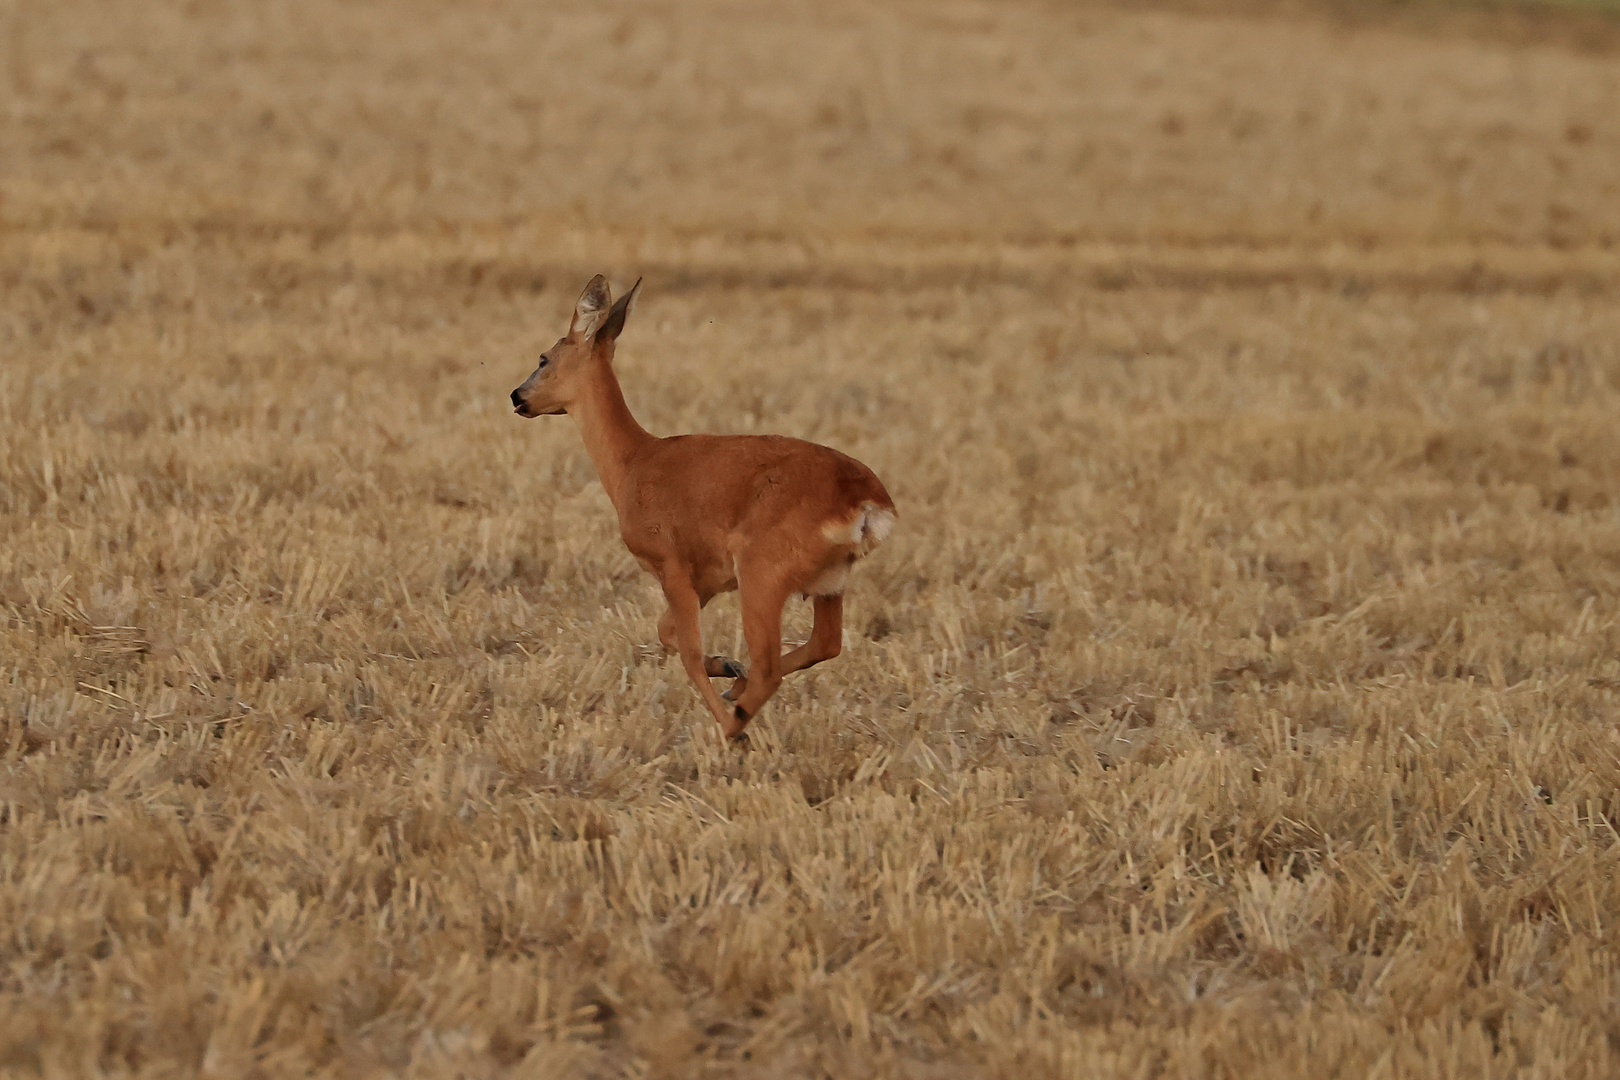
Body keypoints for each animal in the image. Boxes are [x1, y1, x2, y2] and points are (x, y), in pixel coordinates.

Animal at [511, 276, 894, 744]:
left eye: (543, 358)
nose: (517, 396)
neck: (633, 463)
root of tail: (869, 503)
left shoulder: (670, 560)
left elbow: (688, 653)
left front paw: (726, 702)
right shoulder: (708, 577)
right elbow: (666, 632)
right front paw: (725, 666)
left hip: (763, 568)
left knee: (770, 663)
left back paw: (735, 726)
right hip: (829, 580)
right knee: (825, 643)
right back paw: (737, 689)